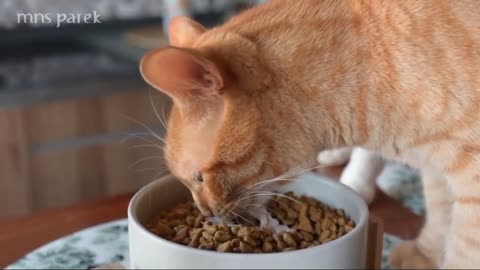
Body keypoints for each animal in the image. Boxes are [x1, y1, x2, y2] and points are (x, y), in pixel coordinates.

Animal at [141, 1, 480, 268]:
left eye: (199, 178)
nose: (205, 212)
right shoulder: (434, 165)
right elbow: (439, 216)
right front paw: (425, 255)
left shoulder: (467, 179)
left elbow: (461, 248)